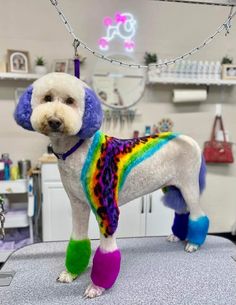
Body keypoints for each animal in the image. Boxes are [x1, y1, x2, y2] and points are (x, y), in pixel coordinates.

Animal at [14, 73, 208, 296]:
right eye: (47, 98)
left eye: (70, 101)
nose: (55, 121)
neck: (78, 149)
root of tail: (187, 139)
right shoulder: (78, 204)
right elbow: (78, 239)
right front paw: (71, 273)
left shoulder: (106, 209)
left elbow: (107, 251)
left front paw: (97, 286)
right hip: (174, 186)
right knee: (182, 211)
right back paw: (178, 236)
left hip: (189, 185)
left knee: (198, 214)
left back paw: (193, 243)